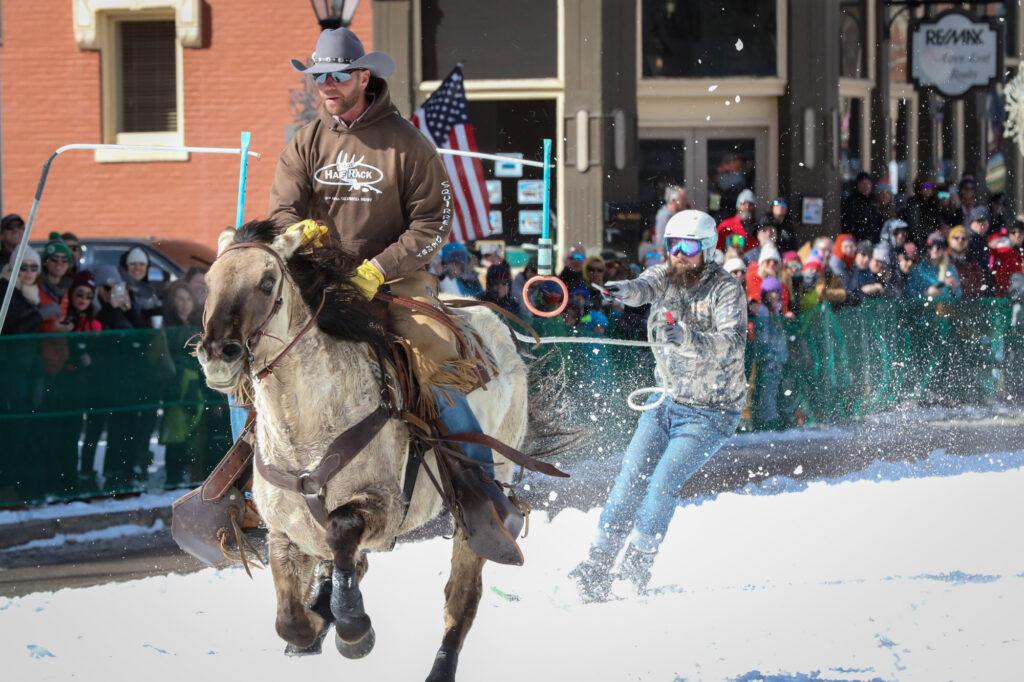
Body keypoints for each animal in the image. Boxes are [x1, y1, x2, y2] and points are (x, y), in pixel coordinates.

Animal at [195, 220, 557, 675]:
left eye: (266, 281)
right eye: (209, 283)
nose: (218, 354)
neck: (303, 432)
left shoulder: (382, 507)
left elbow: (342, 530)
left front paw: (353, 628)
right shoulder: (283, 529)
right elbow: (291, 620)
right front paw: (317, 620)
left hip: (481, 505)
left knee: (462, 594)